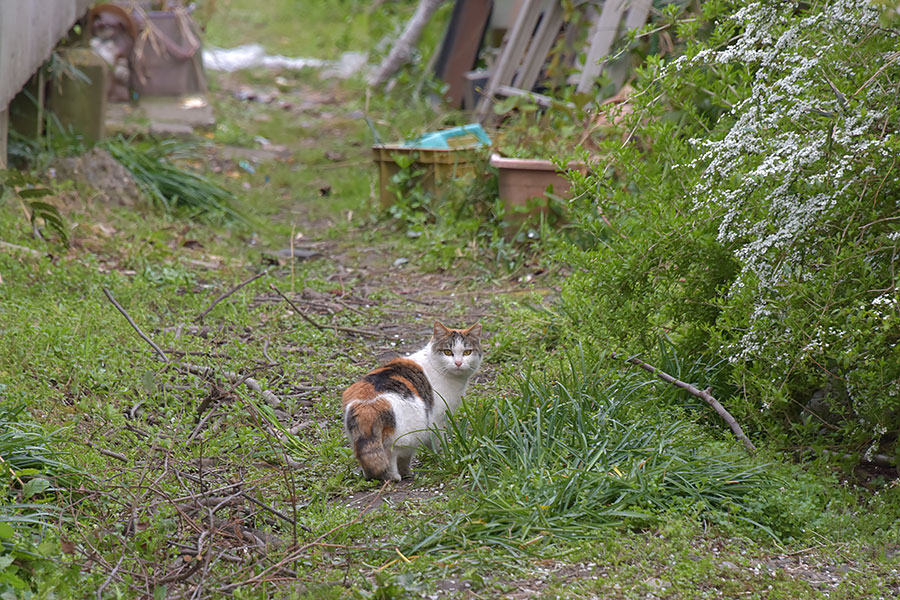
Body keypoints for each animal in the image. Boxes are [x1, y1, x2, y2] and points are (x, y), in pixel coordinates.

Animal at [342, 322, 482, 480]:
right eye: (447, 352)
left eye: (467, 352)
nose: (458, 363)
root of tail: (368, 405)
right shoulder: (437, 419)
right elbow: (438, 441)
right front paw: (443, 457)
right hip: (406, 435)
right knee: (391, 456)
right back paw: (394, 477)